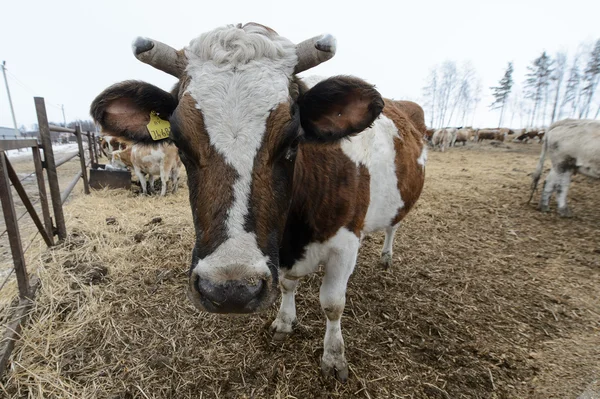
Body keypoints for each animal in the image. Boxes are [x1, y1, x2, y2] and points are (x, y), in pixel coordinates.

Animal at [90, 23, 426, 382]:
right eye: (179, 142)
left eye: (292, 140)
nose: (231, 291)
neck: (293, 237)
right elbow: (289, 285)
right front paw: (284, 322)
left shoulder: (346, 242)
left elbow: (333, 303)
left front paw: (334, 357)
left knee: (393, 227)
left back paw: (387, 255)